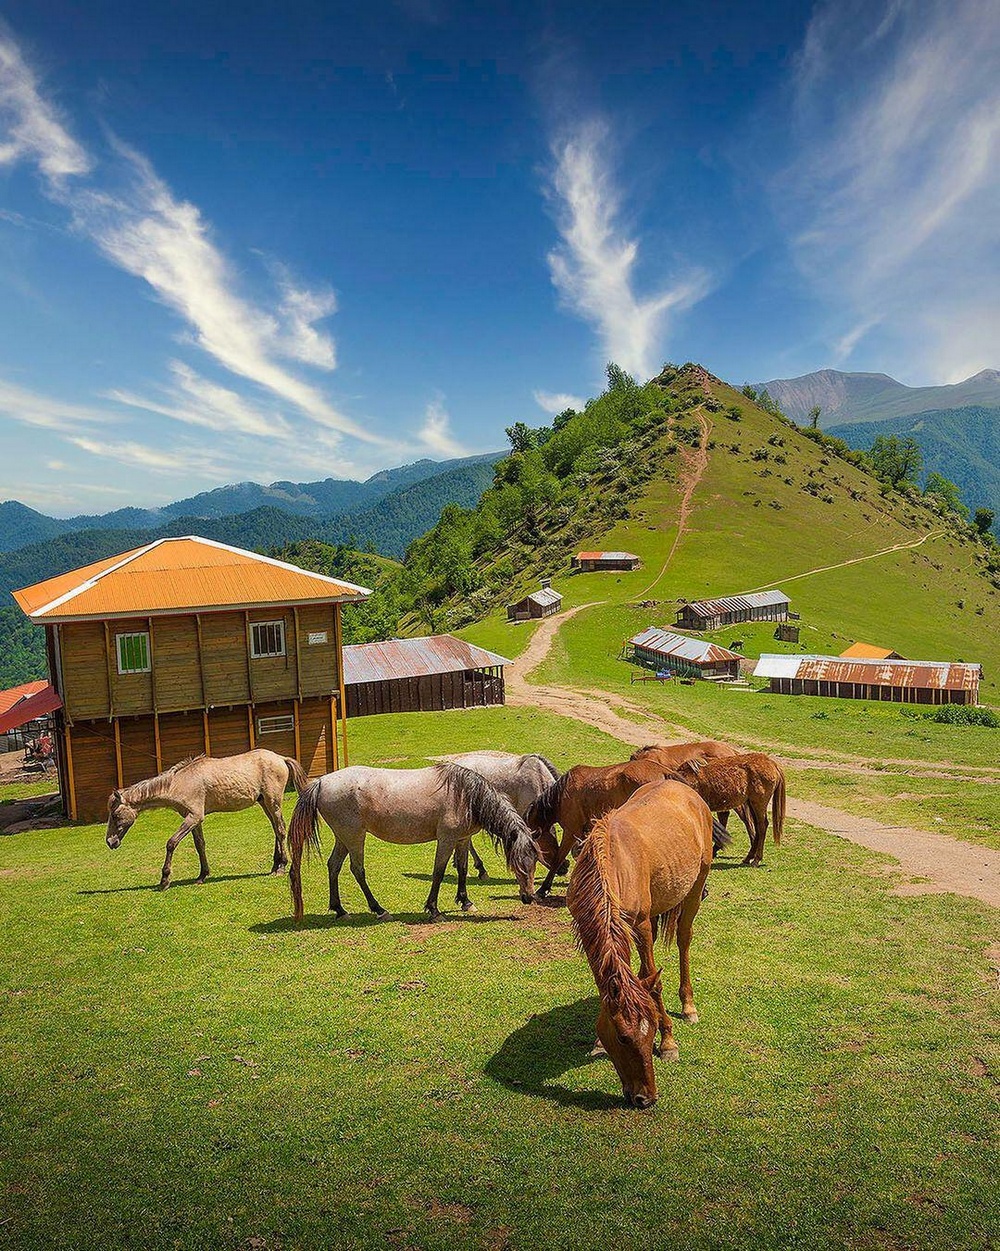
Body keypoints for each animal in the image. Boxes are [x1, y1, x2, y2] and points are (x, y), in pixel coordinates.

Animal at [105, 750, 309, 890]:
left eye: (115, 815)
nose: (110, 842)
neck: (180, 783)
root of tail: (280, 758)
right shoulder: (194, 820)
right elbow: (199, 844)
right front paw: (202, 875)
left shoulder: (193, 817)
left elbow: (171, 843)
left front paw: (164, 880)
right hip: (264, 803)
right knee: (276, 829)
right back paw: (275, 865)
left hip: (273, 802)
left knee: (280, 829)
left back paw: (281, 866)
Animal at [285, 755, 543, 925]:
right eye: (517, 865)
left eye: (534, 862)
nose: (529, 897)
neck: (466, 796)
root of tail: (321, 782)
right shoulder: (446, 839)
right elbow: (439, 872)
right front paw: (434, 910)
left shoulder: (462, 839)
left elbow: (462, 868)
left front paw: (466, 902)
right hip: (354, 837)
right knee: (357, 870)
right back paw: (379, 910)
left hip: (343, 837)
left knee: (334, 866)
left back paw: (340, 910)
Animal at [568, 775, 715, 1110]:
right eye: (623, 1038)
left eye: (651, 1034)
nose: (645, 1098)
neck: (611, 862)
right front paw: (599, 1042)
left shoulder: (643, 925)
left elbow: (653, 981)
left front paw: (669, 1043)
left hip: (695, 886)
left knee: (684, 939)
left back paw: (688, 1005)